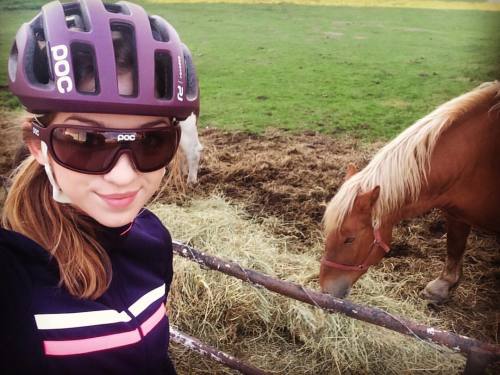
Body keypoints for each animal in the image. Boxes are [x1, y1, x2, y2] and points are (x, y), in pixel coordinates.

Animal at [320, 81, 500, 304]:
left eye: (350, 239)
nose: (325, 292)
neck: (475, 158)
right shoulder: (456, 213)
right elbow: (454, 244)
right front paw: (443, 285)